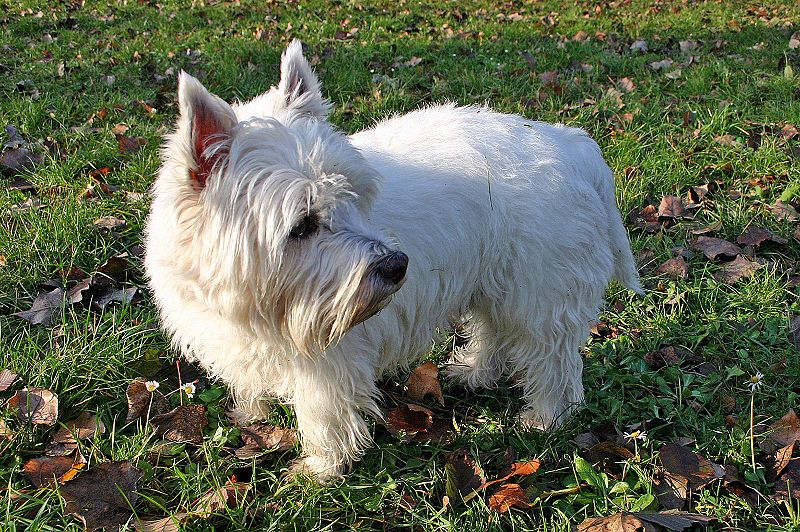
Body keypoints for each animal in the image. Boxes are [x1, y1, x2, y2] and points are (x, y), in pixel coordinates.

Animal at [145, 39, 644, 480]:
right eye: (302, 224)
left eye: (356, 196)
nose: (397, 265)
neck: (255, 305)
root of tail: (568, 145)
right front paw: (251, 413)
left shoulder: (328, 359)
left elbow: (323, 412)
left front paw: (321, 468)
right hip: (497, 280)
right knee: (494, 331)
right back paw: (474, 372)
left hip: (539, 292)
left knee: (553, 359)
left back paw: (546, 417)